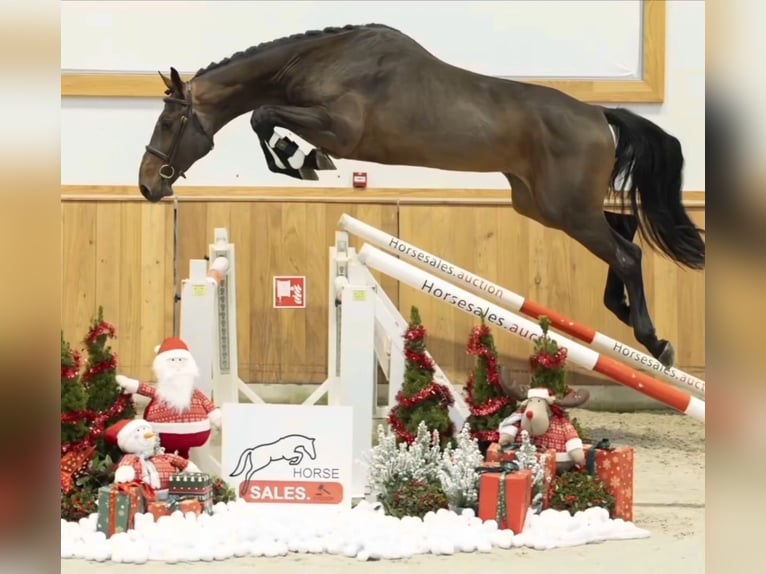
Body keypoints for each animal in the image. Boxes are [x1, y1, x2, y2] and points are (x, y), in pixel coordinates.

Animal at [138, 23, 705, 368]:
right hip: (543, 205)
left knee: (627, 252)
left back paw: (656, 341)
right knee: (625, 232)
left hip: (567, 210)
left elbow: (263, 115)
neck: (318, 62)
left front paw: (301, 163)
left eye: (168, 122)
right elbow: (265, 117)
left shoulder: (341, 130)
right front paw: (299, 161)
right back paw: (621, 313)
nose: (148, 183)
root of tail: (598, 114)